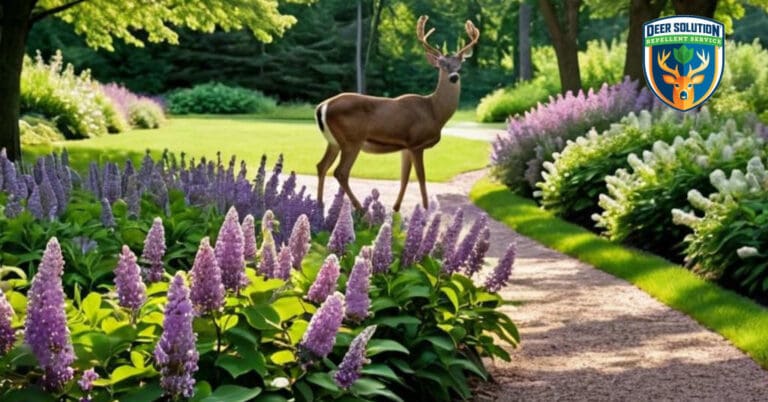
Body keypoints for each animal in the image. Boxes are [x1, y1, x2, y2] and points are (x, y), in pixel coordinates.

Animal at [314, 15, 479, 212]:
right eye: (442, 65)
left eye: (459, 66)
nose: (454, 77)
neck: (434, 112)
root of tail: (322, 106)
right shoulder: (416, 142)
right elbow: (421, 177)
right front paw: (425, 209)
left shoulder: (405, 146)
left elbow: (404, 178)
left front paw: (396, 207)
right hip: (352, 139)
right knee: (340, 172)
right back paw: (360, 209)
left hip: (334, 142)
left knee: (321, 166)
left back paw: (318, 206)